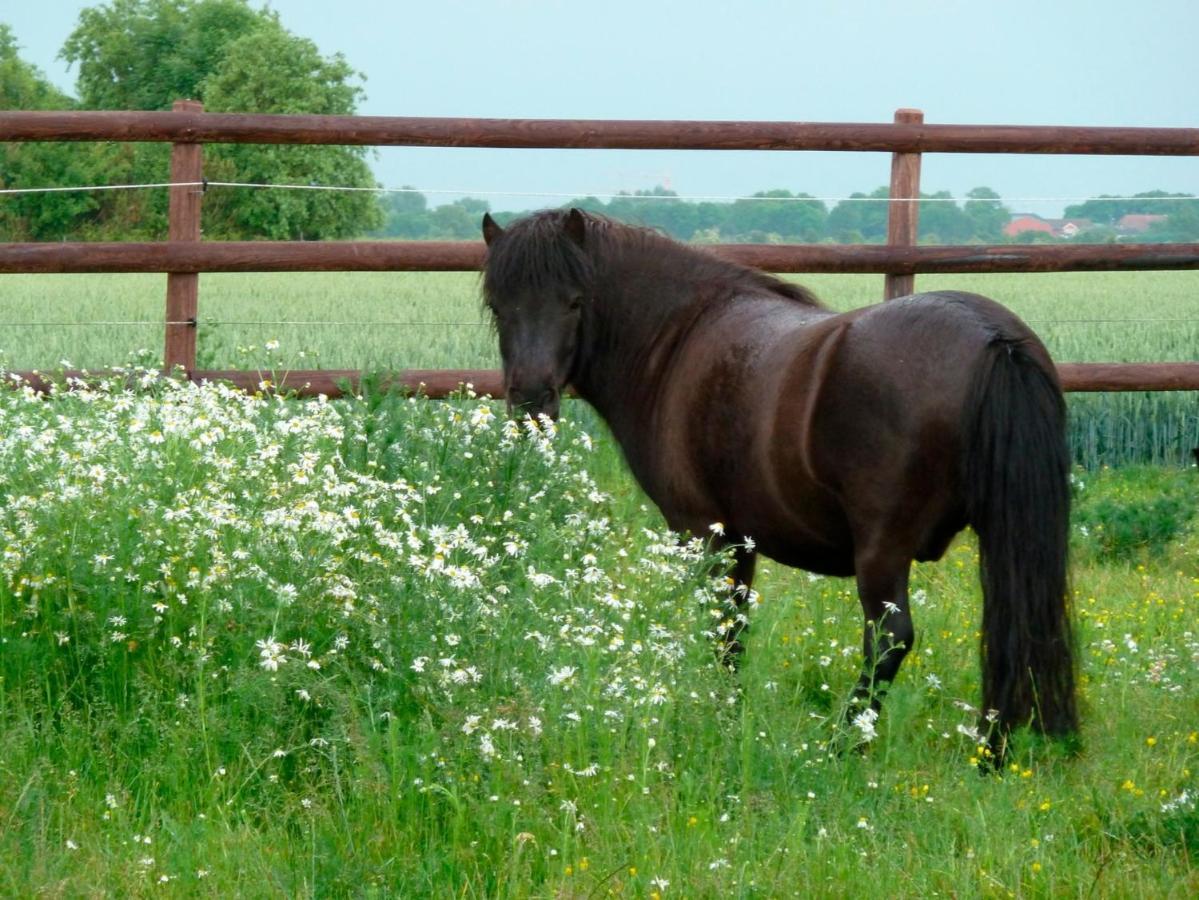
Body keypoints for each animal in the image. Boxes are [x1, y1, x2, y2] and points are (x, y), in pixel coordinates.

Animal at [481, 207, 1083, 757]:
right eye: (498, 306)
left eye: (575, 301)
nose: (531, 402)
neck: (677, 338)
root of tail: (995, 339)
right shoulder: (741, 538)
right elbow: (734, 631)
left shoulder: (706, 533)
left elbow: (724, 631)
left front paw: (719, 720)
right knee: (1016, 629)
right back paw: (992, 752)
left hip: (883, 548)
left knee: (890, 639)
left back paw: (844, 745)